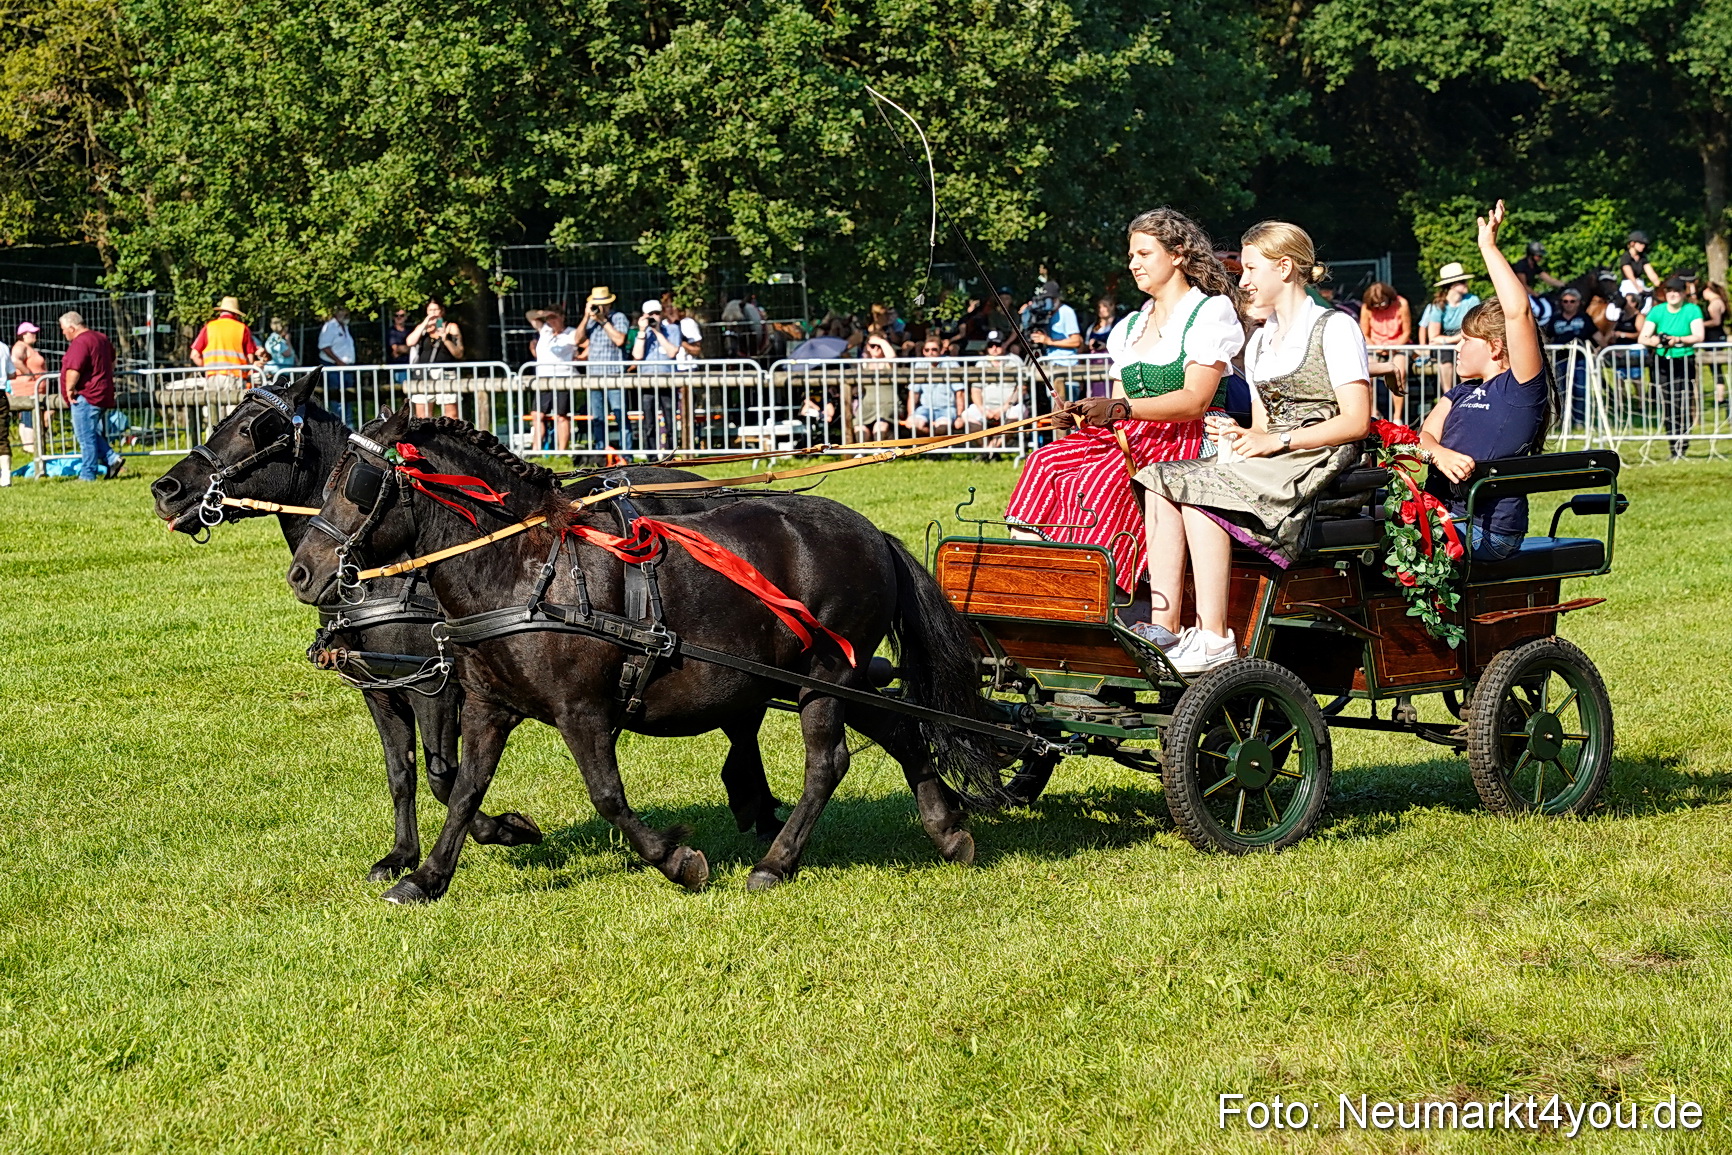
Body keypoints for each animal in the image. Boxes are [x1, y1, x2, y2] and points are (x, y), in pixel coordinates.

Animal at [284, 412, 1005, 901]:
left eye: (360, 482)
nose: (302, 573)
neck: (523, 571)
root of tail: (874, 533)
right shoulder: (488, 705)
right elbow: (463, 790)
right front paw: (430, 875)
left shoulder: (581, 710)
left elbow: (607, 796)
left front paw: (677, 860)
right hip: (834, 676)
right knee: (901, 732)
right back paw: (947, 828)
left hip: (827, 676)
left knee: (827, 763)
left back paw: (775, 862)